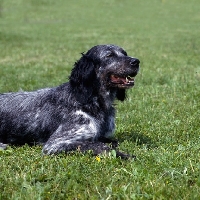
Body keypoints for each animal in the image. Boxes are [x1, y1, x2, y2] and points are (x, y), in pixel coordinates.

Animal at [0, 44, 140, 159]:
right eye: (109, 55)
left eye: (125, 53)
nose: (136, 61)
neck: (90, 100)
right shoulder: (56, 143)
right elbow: (98, 146)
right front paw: (124, 155)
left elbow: (111, 141)